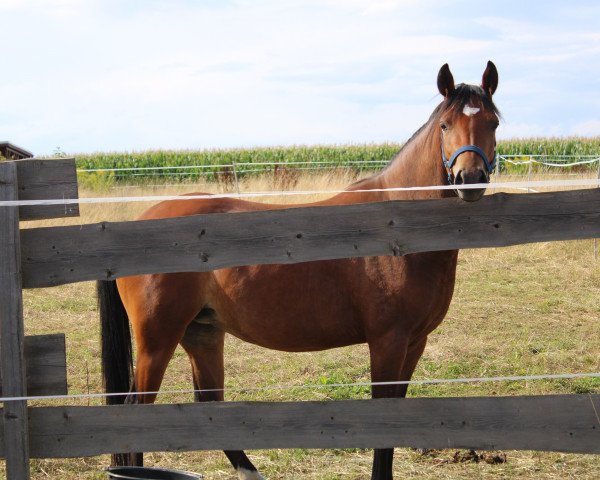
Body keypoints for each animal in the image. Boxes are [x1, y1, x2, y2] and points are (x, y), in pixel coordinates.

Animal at [98, 62, 502, 478]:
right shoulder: (387, 341)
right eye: (446, 125)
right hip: (158, 338)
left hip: (202, 333)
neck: (392, 228)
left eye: (493, 123)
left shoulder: (414, 342)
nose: (469, 178)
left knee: (209, 405)